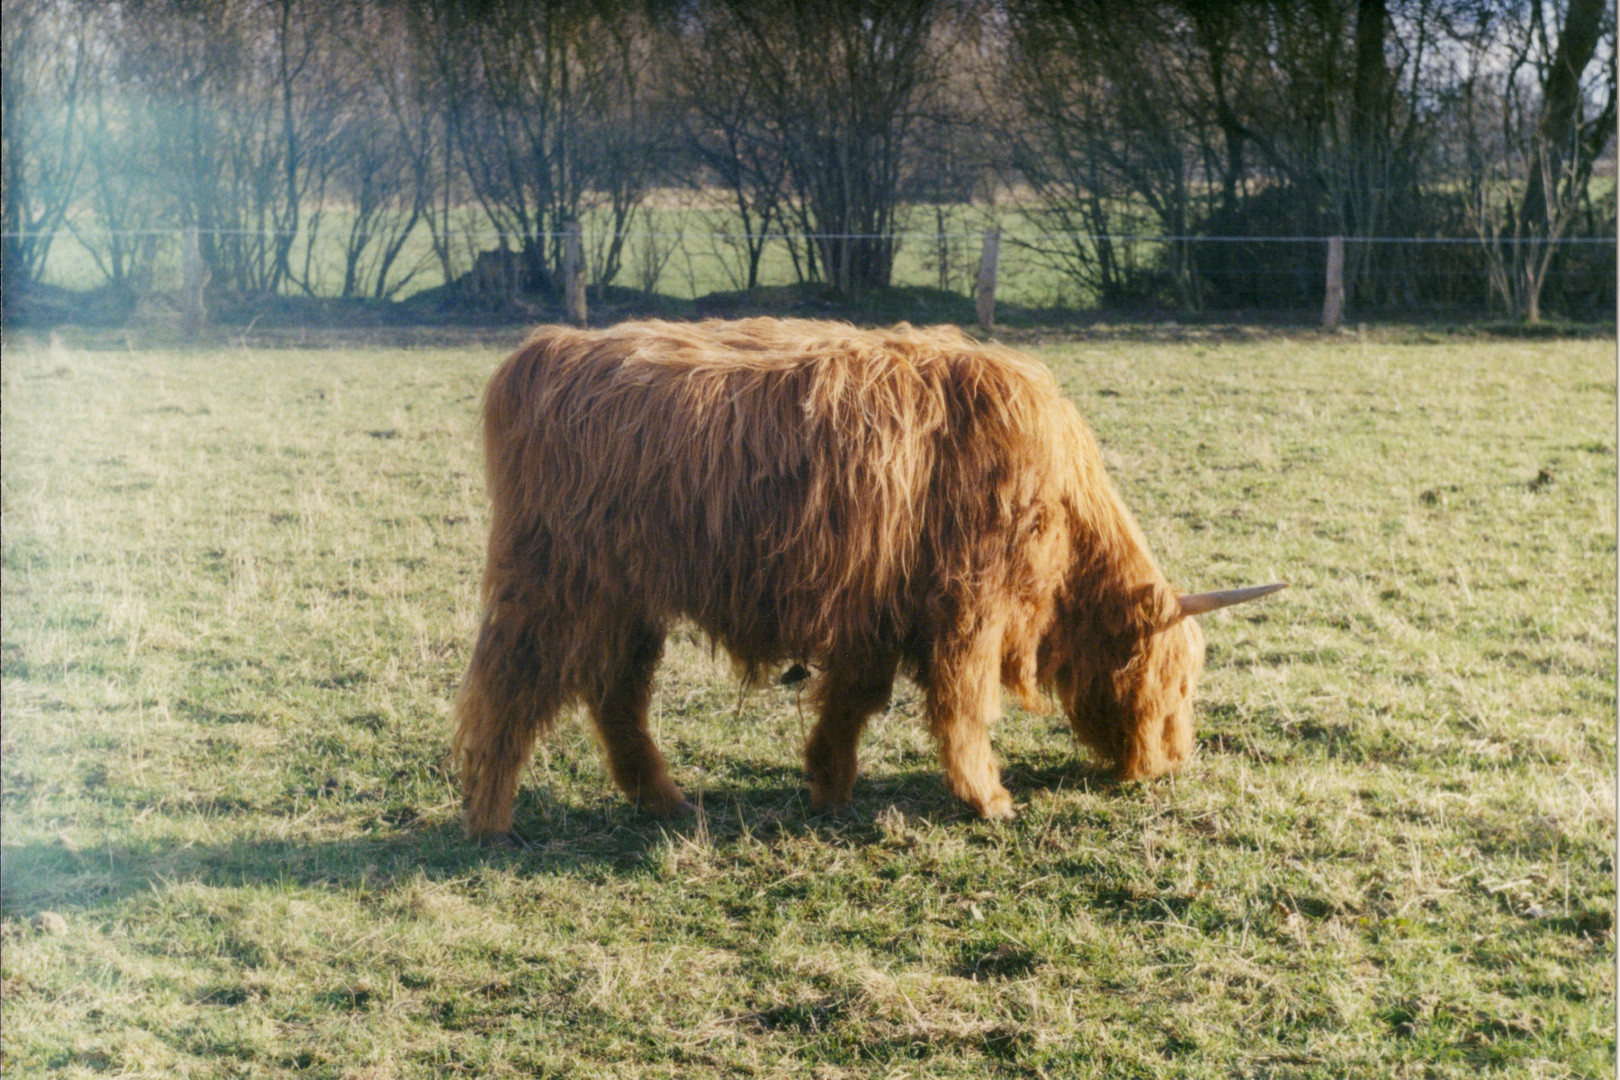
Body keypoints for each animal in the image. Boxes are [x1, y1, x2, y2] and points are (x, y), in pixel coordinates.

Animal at [453, 317, 1276, 841]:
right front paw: (989, 798)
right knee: (509, 687)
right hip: (552, 585)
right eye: (1178, 682)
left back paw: (664, 801)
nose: (1171, 764)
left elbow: (854, 701)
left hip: (627, 600)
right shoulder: (969, 605)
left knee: (617, 693)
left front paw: (829, 787)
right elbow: (963, 706)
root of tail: (546, 350)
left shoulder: (878, 611)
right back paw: (488, 817)